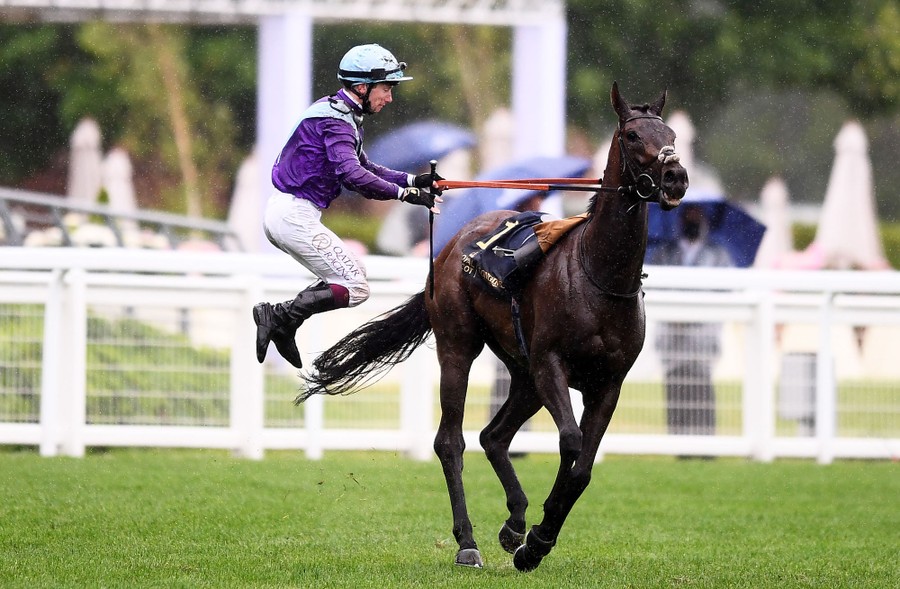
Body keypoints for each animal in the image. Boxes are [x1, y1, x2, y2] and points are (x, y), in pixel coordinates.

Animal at [298, 82, 688, 572]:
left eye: (671, 133)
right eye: (633, 136)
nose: (676, 177)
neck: (599, 276)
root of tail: (451, 246)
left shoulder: (607, 383)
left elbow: (582, 469)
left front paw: (534, 539)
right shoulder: (551, 365)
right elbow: (571, 441)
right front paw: (538, 537)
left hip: (523, 375)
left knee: (494, 436)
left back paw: (514, 522)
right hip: (460, 349)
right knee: (451, 442)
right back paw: (468, 541)